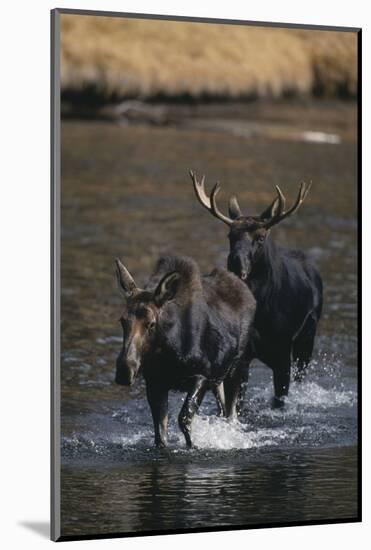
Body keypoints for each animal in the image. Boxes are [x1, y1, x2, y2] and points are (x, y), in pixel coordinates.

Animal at [115, 256, 258, 450]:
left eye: (151, 324)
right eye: (123, 321)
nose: (125, 370)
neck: (167, 353)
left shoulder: (201, 376)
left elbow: (184, 419)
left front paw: (194, 446)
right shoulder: (155, 383)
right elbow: (160, 434)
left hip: (237, 369)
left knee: (231, 414)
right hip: (219, 378)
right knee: (222, 409)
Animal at [190, 172, 324, 410]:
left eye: (260, 237)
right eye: (230, 236)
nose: (235, 262)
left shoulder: (282, 353)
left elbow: (279, 398)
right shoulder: (241, 355)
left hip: (307, 336)